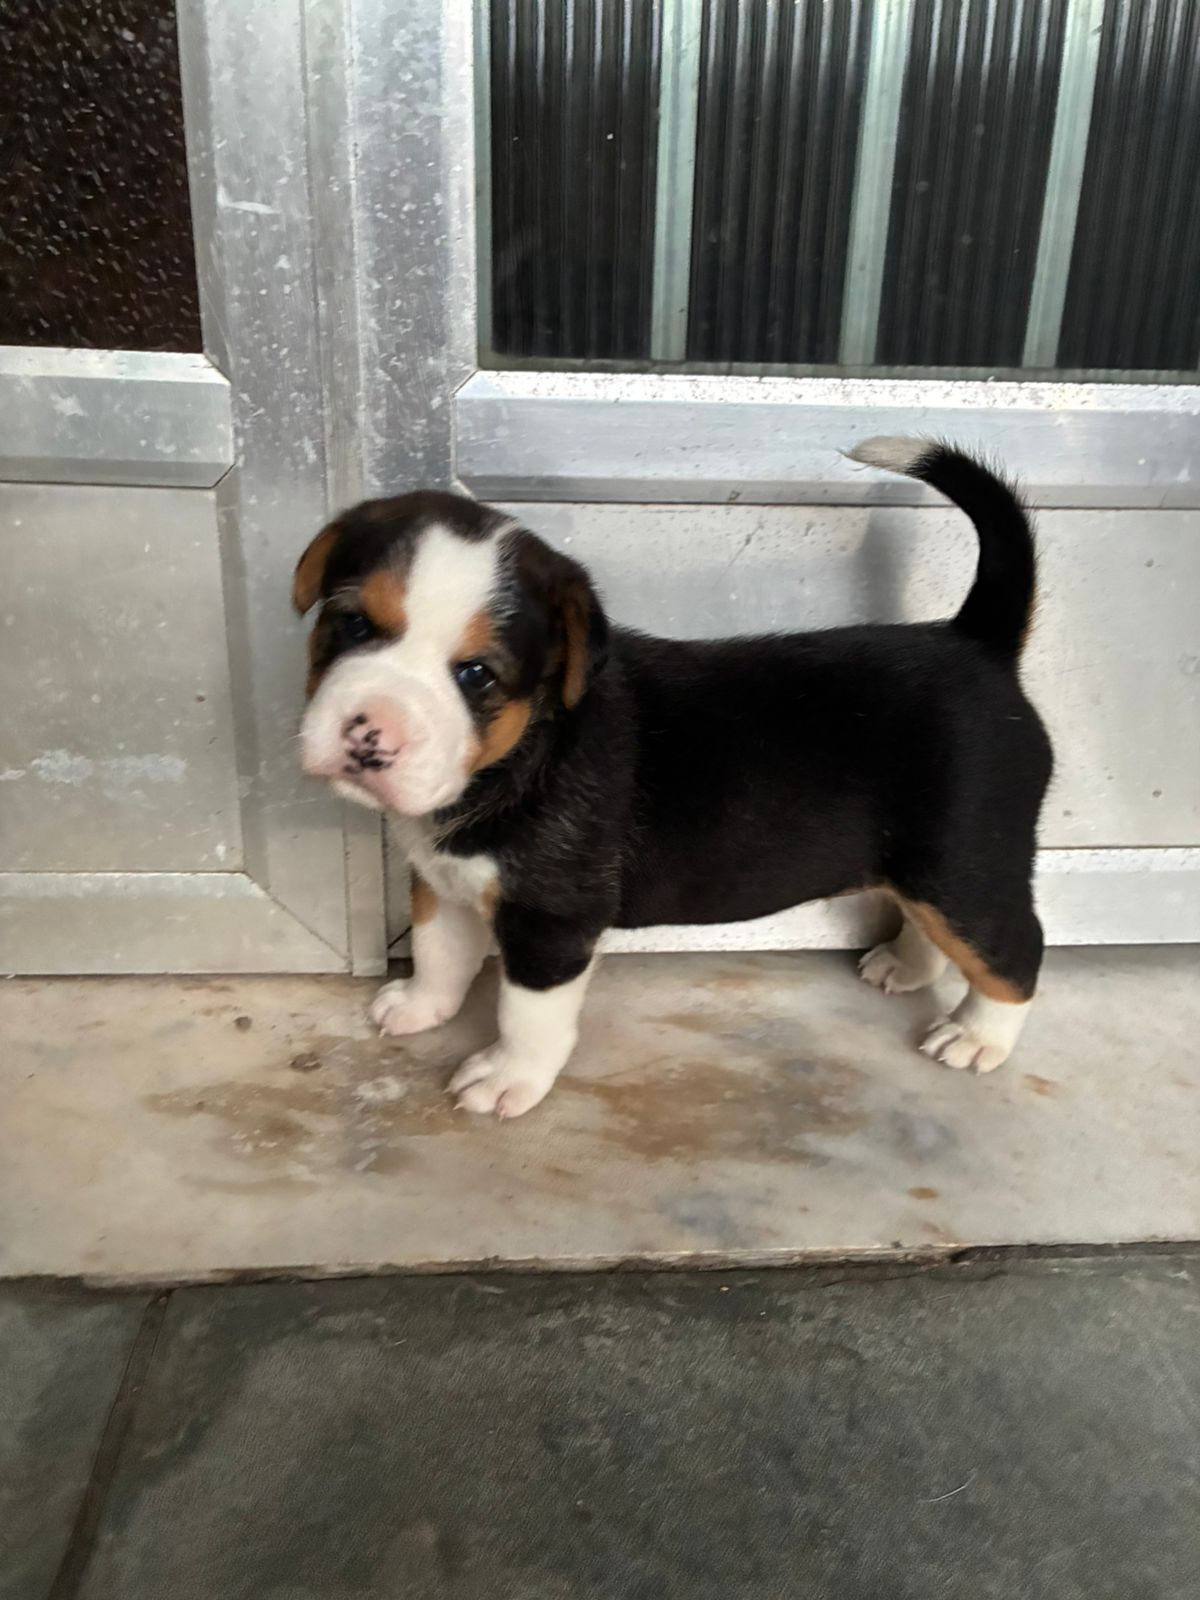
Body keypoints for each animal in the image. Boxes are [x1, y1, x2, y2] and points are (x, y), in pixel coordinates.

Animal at [294, 438, 1052, 1118]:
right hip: (928, 870)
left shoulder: (552, 923)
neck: (519, 756)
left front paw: (508, 1078)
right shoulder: (442, 882)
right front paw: (419, 1006)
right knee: (933, 930)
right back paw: (906, 967)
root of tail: (975, 643)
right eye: (353, 625)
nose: (368, 734)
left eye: (476, 674)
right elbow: (438, 953)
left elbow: (525, 1015)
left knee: (1014, 951)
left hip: (965, 867)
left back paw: (977, 1036)